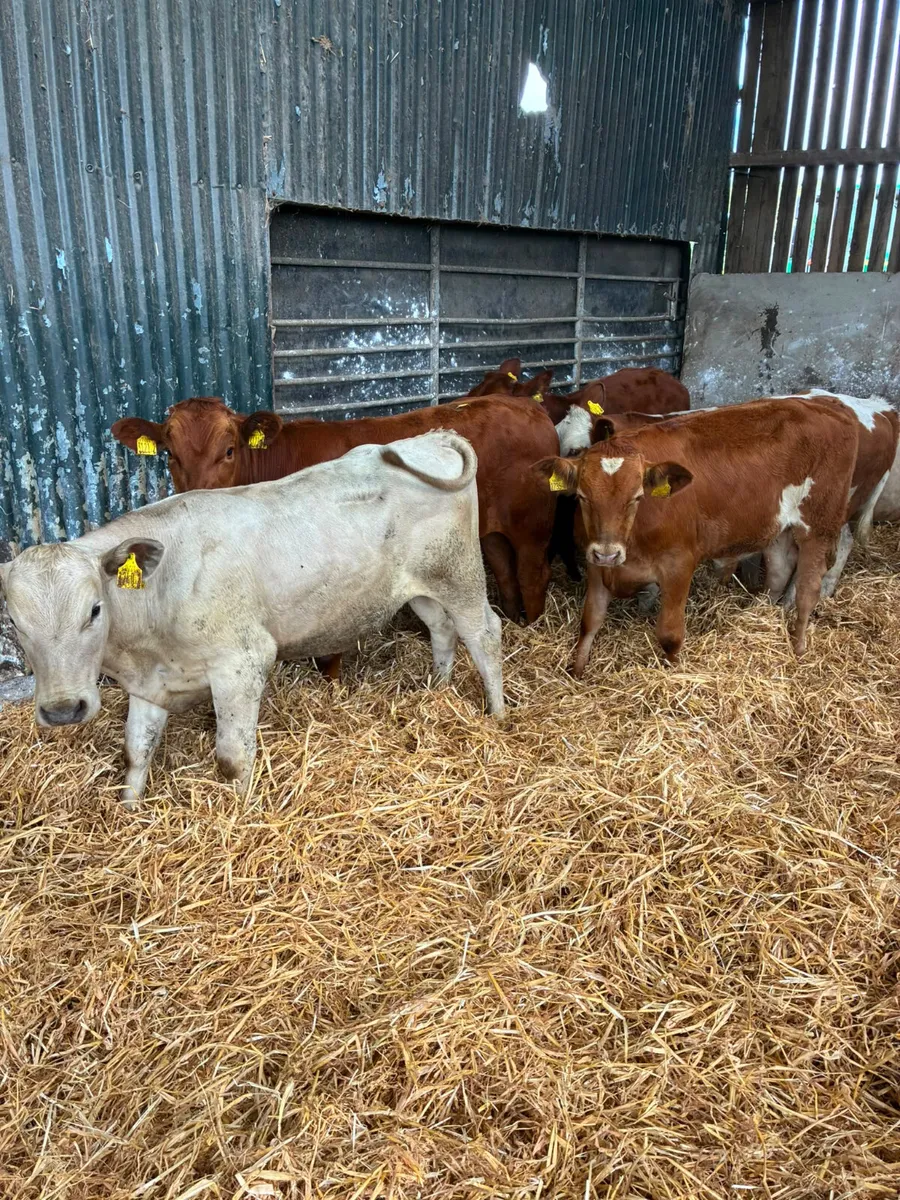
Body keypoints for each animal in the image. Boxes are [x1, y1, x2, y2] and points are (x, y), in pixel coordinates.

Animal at [0, 432, 505, 805]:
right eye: (17, 624)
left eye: (94, 609)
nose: (63, 710)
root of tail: (431, 437)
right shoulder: (151, 684)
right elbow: (135, 751)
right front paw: (129, 811)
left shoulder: (243, 660)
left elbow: (231, 758)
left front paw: (240, 816)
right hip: (416, 586)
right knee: (441, 628)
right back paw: (438, 690)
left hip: (459, 573)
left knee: (484, 634)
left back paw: (497, 715)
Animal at [112, 394, 558, 679]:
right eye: (170, 454)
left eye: (229, 450)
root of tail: (529, 406)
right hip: (491, 532)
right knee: (504, 570)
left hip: (533, 525)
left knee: (533, 575)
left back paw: (533, 627)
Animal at [534, 399, 859, 675]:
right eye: (582, 496)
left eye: (637, 497)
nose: (608, 553)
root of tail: (829, 406)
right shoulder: (596, 566)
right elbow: (589, 622)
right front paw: (577, 672)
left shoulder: (679, 565)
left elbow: (669, 635)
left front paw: (673, 672)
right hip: (779, 528)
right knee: (779, 571)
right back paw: (763, 613)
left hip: (820, 525)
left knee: (808, 590)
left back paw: (799, 648)